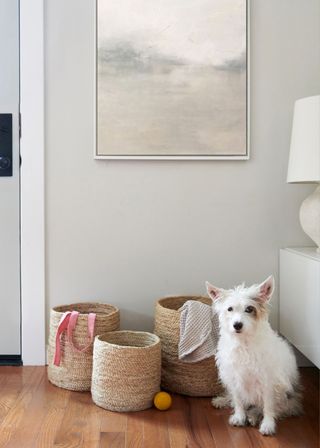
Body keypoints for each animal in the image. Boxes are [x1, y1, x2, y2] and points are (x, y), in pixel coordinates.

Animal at [206, 274, 302, 436]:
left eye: (249, 309)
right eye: (229, 309)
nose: (237, 325)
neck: (244, 343)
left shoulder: (268, 381)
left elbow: (268, 406)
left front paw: (268, 424)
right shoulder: (233, 376)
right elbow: (238, 400)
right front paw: (239, 416)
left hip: (286, 397)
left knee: (270, 407)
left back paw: (253, 415)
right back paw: (224, 401)